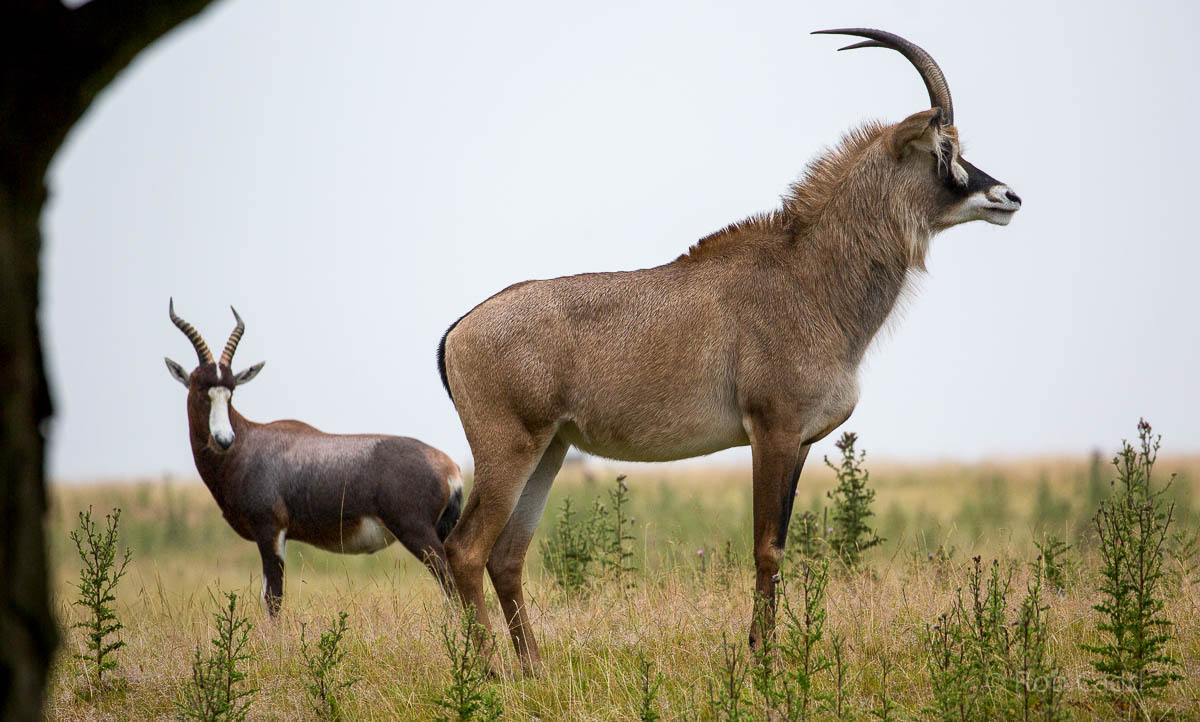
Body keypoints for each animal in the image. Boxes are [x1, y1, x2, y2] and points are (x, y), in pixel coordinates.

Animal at [164, 300, 463, 613]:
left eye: (231, 390)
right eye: (200, 387)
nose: (223, 439)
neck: (249, 441)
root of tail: (450, 469)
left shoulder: (270, 530)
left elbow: (273, 599)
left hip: (418, 533)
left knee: (451, 586)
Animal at [437, 28, 1022, 674]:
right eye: (943, 149)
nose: (1008, 196)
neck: (808, 279)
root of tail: (459, 331)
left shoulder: (799, 442)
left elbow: (780, 545)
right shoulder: (772, 429)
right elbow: (766, 547)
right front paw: (763, 665)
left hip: (550, 449)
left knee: (506, 555)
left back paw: (535, 671)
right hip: (508, 449)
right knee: (465, 550)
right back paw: (488, 673)